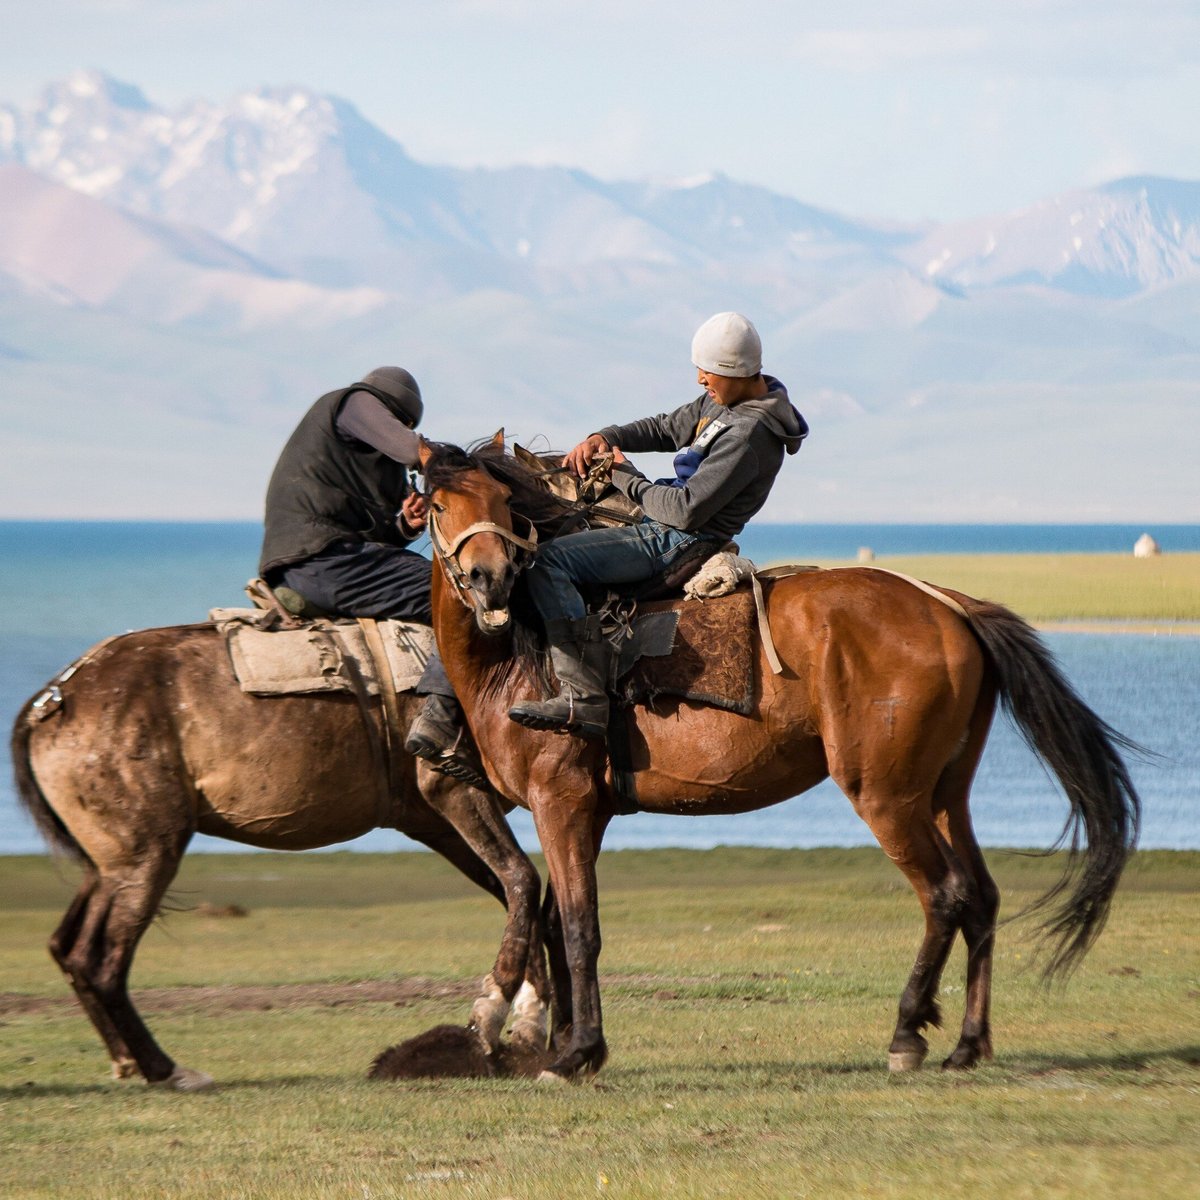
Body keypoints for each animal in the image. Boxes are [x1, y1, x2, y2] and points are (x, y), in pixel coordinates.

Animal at [11, 619, 547, 1089]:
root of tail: (51, 699)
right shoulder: (450, 791)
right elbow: (524, 880)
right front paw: (499, 1026)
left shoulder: (435, 824)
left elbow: (523, 896)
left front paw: (530, 1036)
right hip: (146, 859)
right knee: (99, 961)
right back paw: (167, 1070)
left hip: (109, 866)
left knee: (67, 948)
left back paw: (128, 1061)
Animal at [417, 439, 1137, 1080]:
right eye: (439, 504)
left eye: (503, 503)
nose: (489, 581)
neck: (520, 656)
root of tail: (949, 607)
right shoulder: (586, 812)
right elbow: (555, 922)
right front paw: (566, 1043)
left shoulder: (560, 801)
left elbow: (576, 927)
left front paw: (572, 1053)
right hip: (941, 793)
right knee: (981, 897)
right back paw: (967, 1043)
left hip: (885, 795)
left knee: (946, 894)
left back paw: (907, 1032)